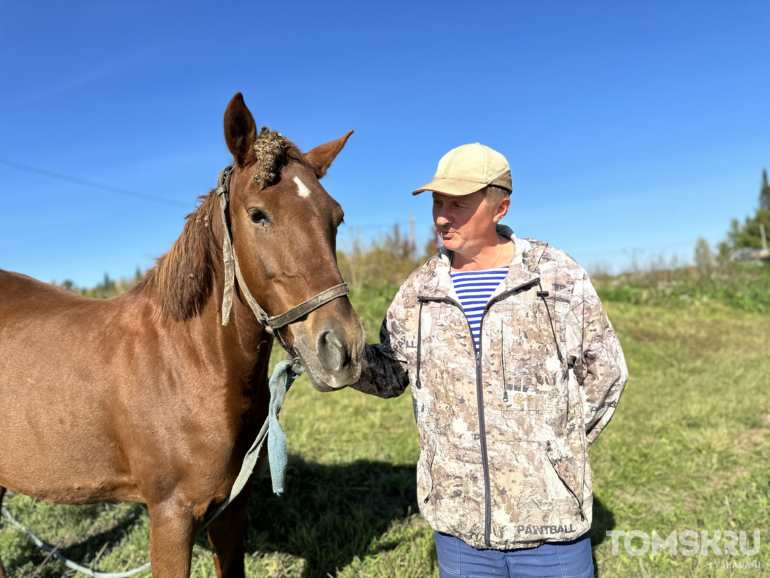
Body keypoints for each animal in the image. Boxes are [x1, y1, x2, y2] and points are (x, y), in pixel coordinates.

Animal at [0, 93, 364, 576]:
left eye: (335, 218)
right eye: (258, 215)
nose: (342, 349)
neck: (186, 364)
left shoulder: (230, 512)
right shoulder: (171, 519)